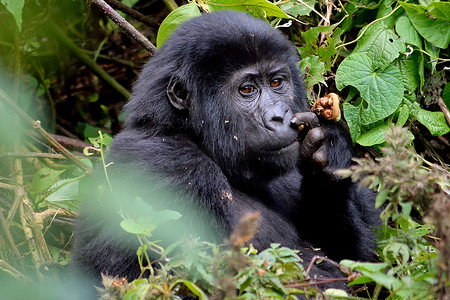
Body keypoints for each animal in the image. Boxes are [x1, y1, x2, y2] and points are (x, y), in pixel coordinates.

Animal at [71, 11, 380, 290]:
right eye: (247, 90)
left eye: (276, 82)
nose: (279, 116)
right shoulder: (169, 163)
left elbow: (363, 263)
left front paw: (327, 158)